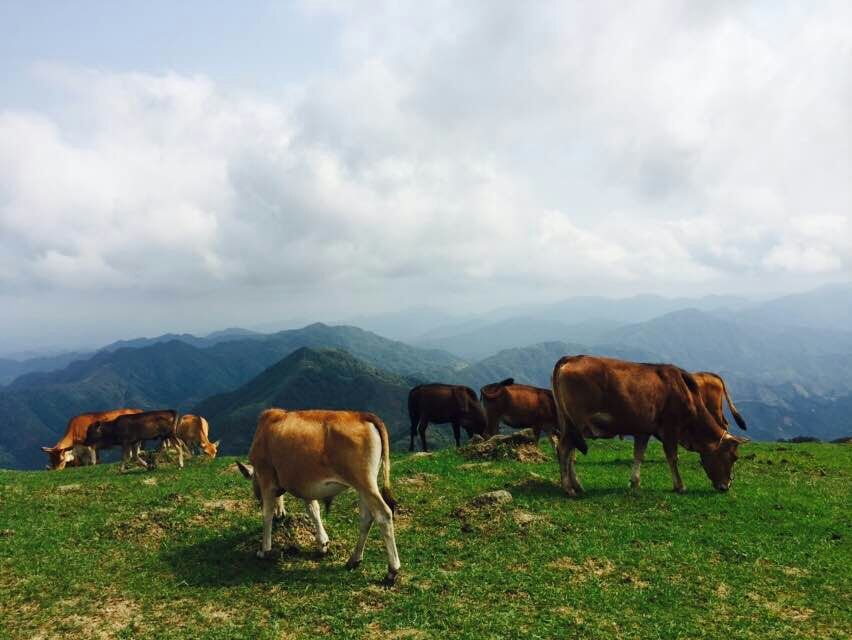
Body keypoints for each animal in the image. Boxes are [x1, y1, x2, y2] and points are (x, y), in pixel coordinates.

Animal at [235, 410, 402, 584]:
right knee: (366, 518)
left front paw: (264, 550)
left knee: (383, 515)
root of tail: (363, 415)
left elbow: (266, 513)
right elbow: (313, 509)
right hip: (364, 486)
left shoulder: (266, 476)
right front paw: (323, 543)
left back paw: (392, 570)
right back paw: (354, 559)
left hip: (365, 483)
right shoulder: (304, 483)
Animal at [552, 356, 744, 496]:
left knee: (569, 452)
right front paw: (680, 486)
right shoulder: (671, 428)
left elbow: (639, 454)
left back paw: (577, 485)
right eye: (734, 457)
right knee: (565, 449)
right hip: (576, 423)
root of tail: (572, 358)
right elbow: (672, 457)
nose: (726, 486)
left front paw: (635, 482)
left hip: (569, 423)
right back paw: (569, 488)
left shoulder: (644, 429)